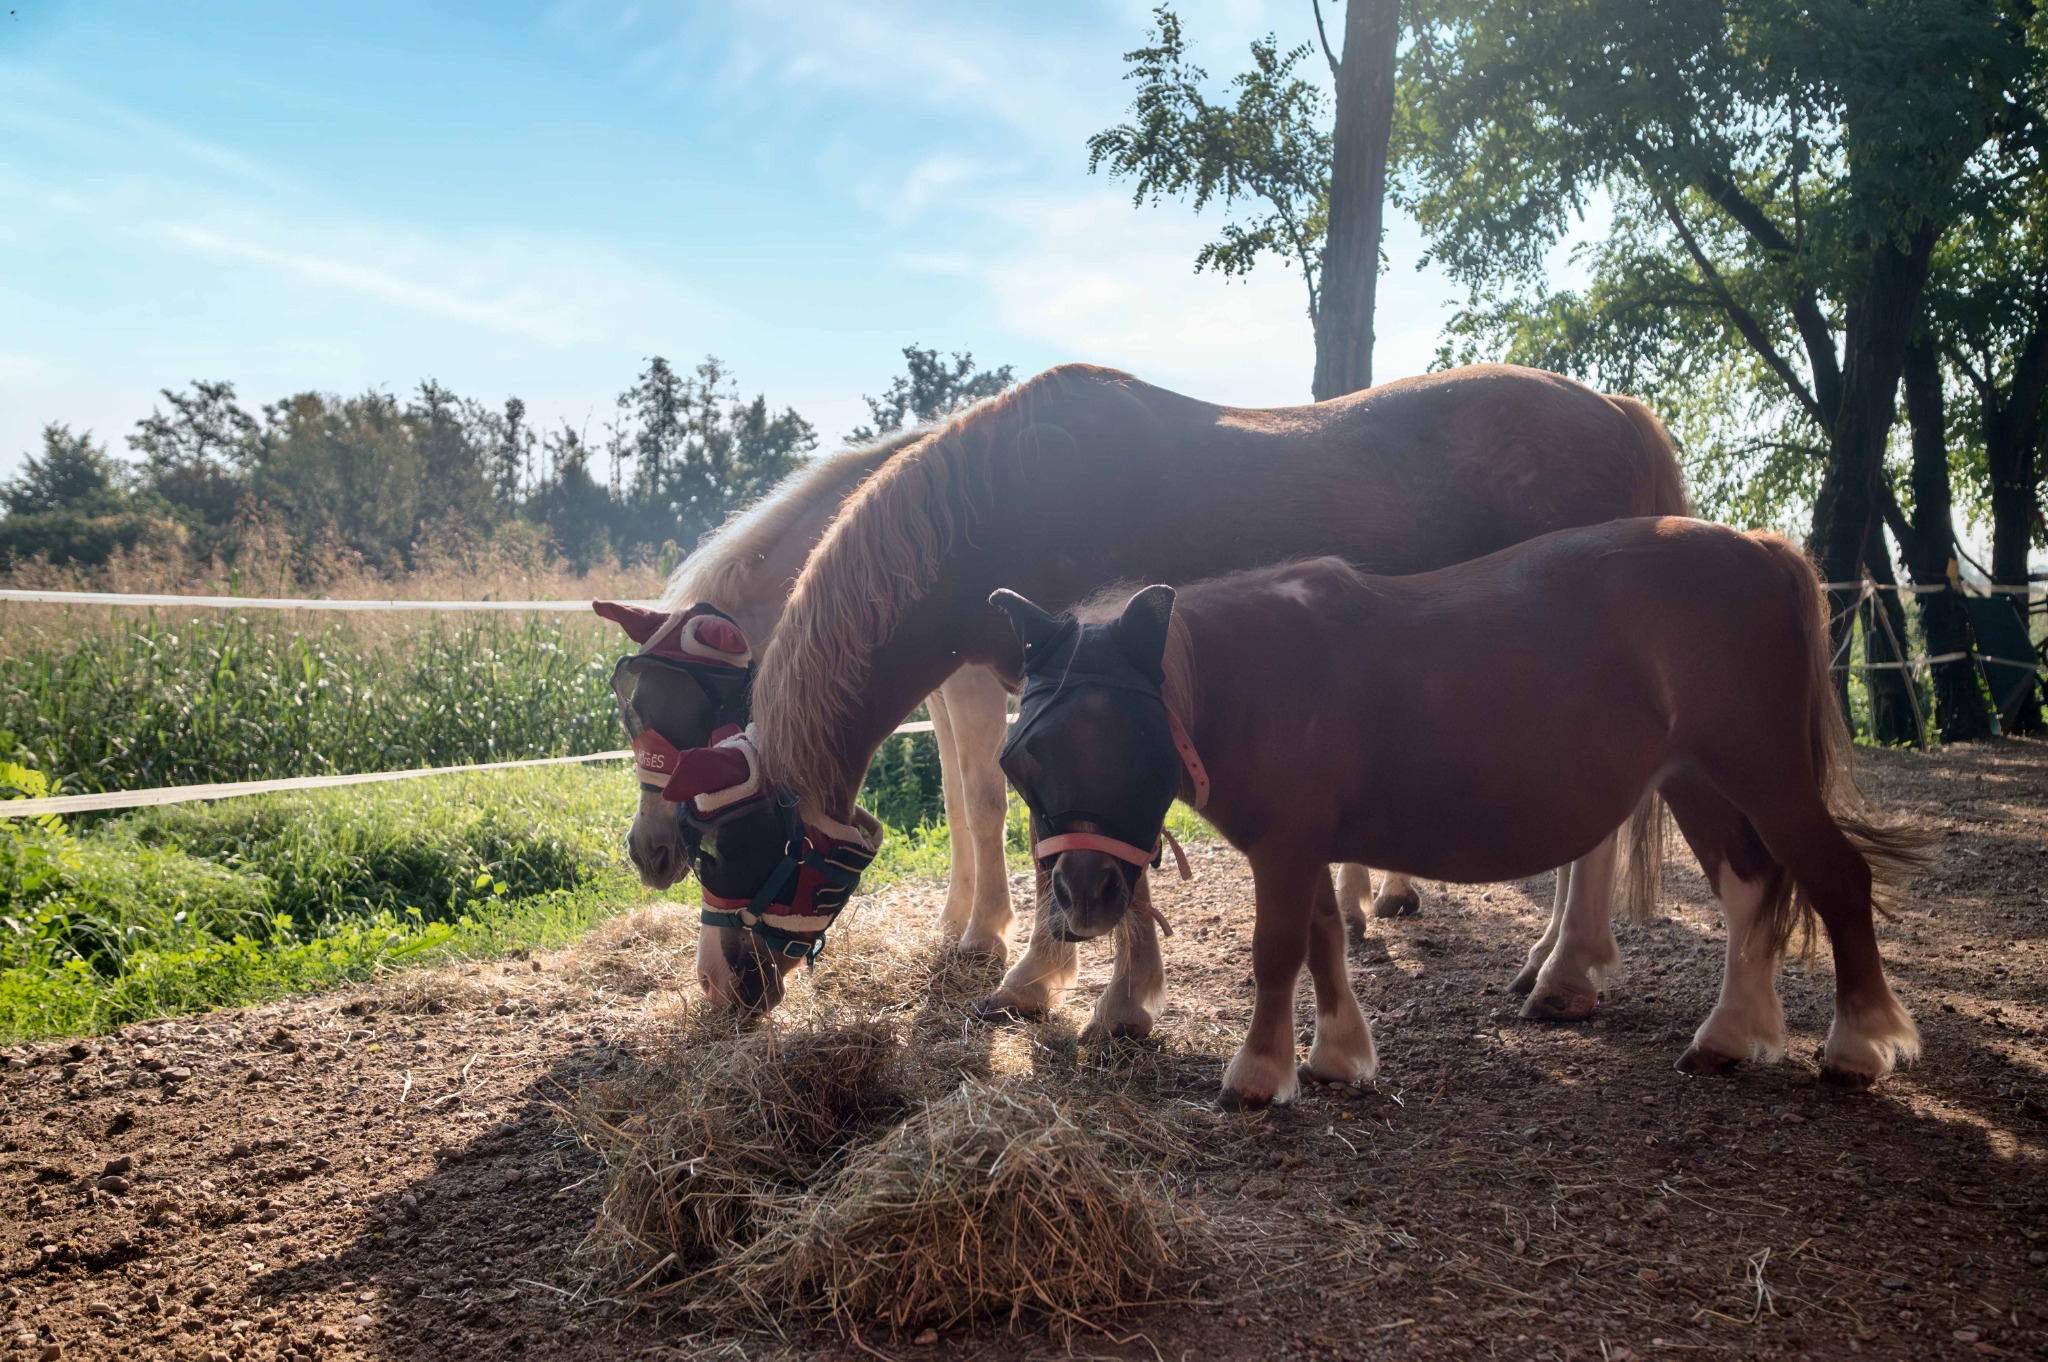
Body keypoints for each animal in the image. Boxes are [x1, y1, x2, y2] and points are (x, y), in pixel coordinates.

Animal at [682, 361, 1690, 1020]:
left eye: (725, 846)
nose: (720, 983)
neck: (1010, 497)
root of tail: (1619, 411)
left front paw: (1043, 983)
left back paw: (1566, 976)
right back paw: (1550, 958)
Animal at [990, 517, 1930, 1107]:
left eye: (1137, 742)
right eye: (1024, 757)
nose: (1081, 902)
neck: (1257, 678)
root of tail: (1766, 549)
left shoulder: (1285, 848)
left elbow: (1278, 952)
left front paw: (1259, 1074)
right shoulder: (1311, 844)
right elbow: (1326, 939)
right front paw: (1337, 1056)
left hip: (1763, 773)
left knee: (1834, 879)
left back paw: (1855, 1047)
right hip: (1697, 780)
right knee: (1750, 889)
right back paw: (1729, 1036)